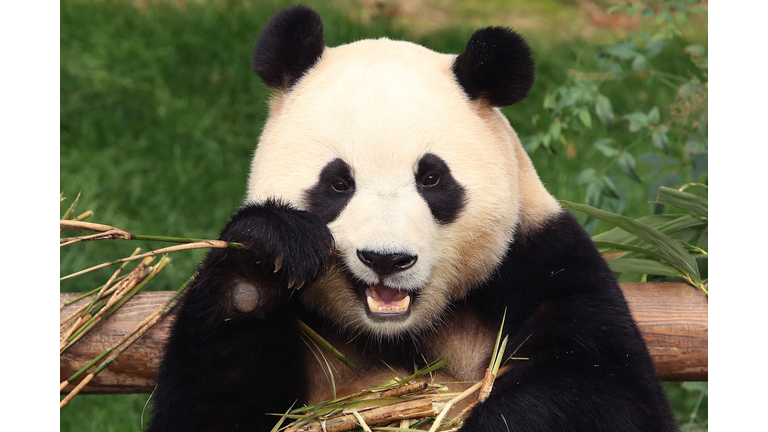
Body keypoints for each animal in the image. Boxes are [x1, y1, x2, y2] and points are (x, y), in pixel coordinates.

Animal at [149, 5, 677, 432]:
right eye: (338, 183)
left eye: (432, 179)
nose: (386, 259)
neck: (396, 333)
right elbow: (209, 404)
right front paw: (266, 257)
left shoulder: (543, 265)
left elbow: (603, 390)